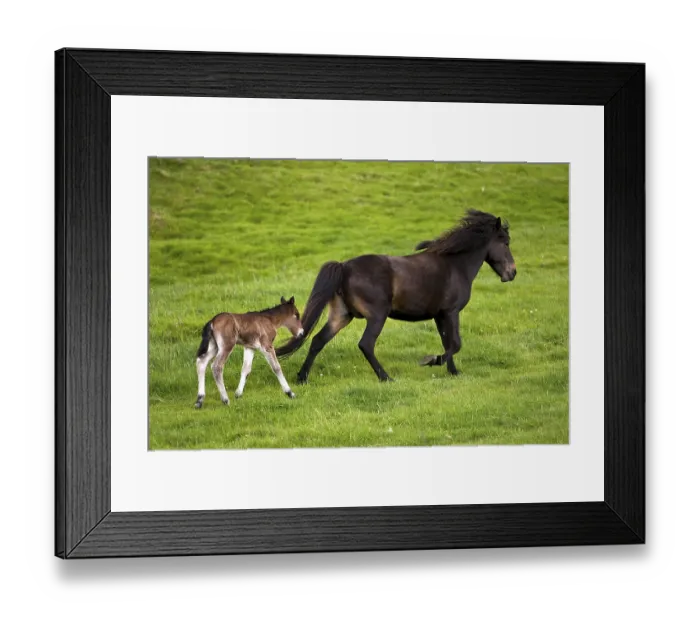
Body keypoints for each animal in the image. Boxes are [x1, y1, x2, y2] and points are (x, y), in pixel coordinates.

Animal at [275, 210, 516, 383]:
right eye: (505, 242)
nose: (512, 273)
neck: (455, 265)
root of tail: (344, 267)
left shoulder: (440, 315)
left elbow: (448, 342)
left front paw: (453, 372)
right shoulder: (451, 312)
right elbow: (455, 343)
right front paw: (431, 361)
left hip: (341, 315)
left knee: (317, 340)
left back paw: (302, 378)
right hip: (377, 315)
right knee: (365, 344)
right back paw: (386, 378)